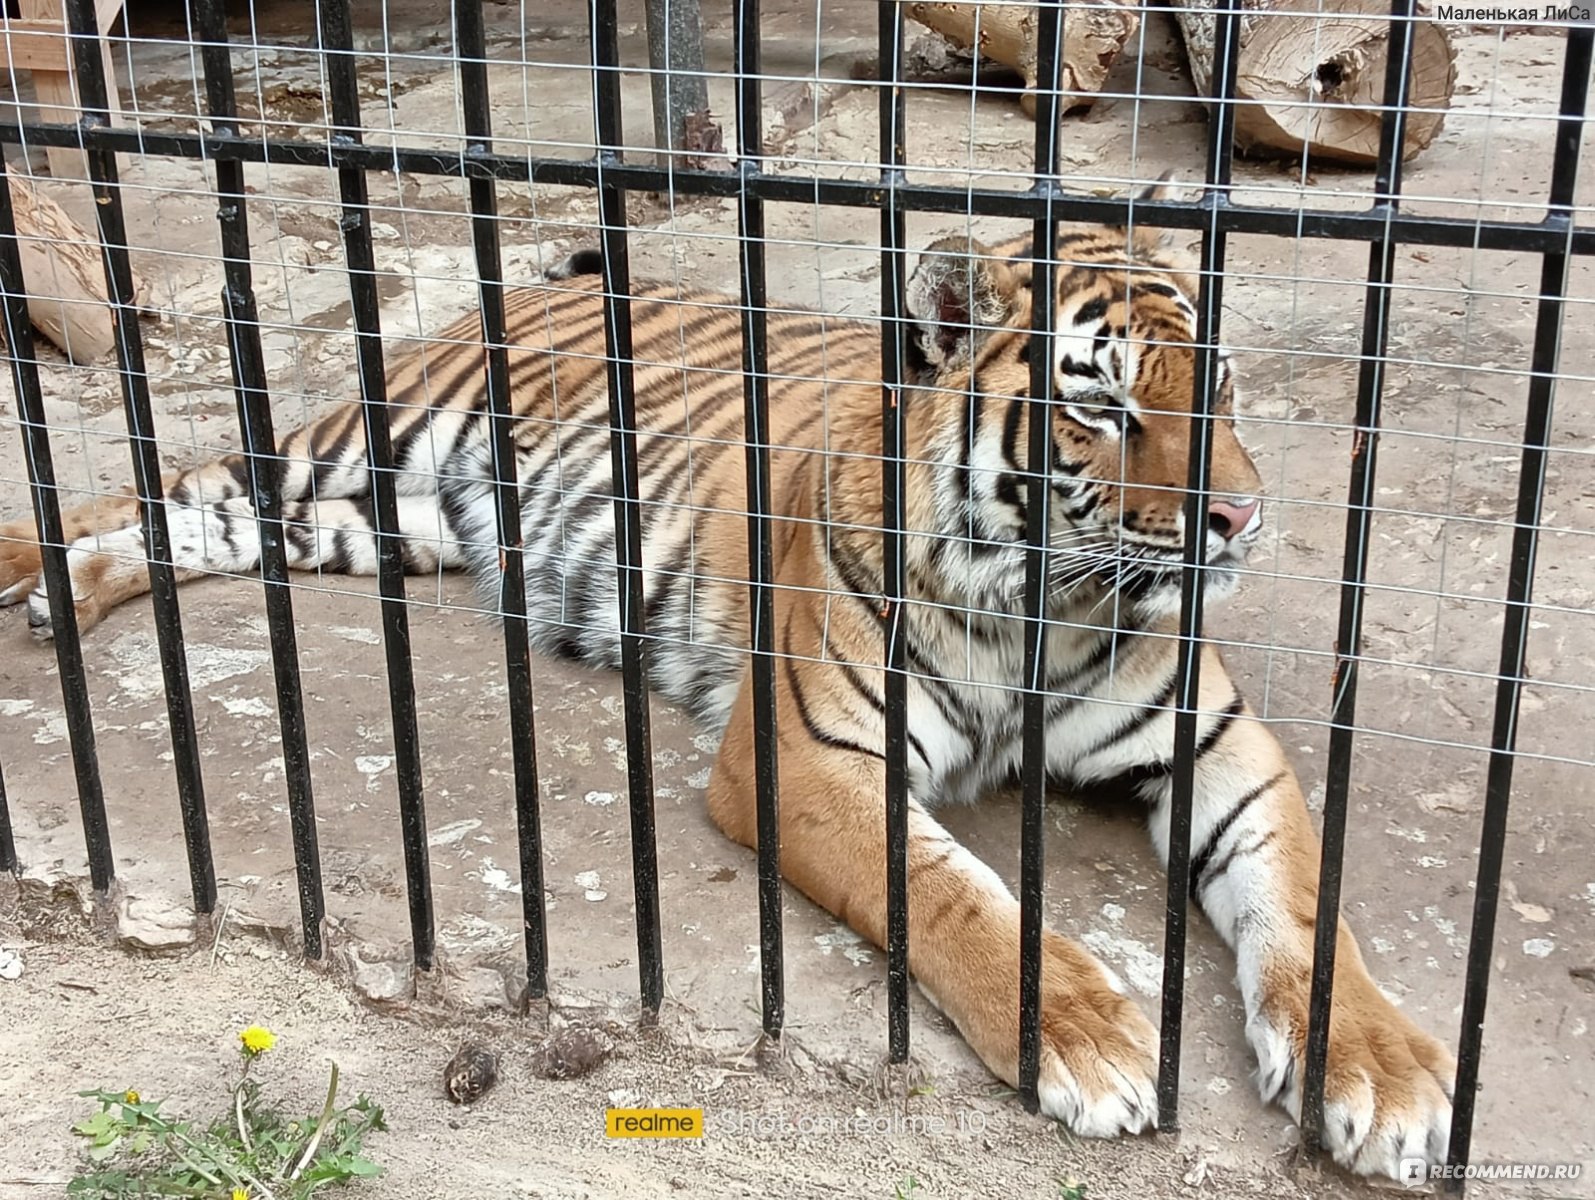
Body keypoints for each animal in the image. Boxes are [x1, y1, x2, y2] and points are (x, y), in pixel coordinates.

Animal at [0, 209, 1454, 1180]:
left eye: (1216, 381)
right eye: (1096, 409)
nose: (1239, 519)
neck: (1036, 606)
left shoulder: (1221, 745)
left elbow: (1305, 901)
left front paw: (1382, 1081)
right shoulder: (805, 758)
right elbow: (964, 906)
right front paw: (1090, 1045)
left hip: (375, 526)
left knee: (191, 532)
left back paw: (62, 597)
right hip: (348, 448)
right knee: (162, 479)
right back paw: (28, 570)